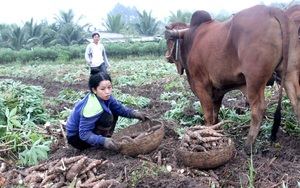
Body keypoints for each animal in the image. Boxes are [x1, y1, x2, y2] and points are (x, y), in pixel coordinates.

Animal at [164, 4, 300, 154]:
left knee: (258, 108)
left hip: (254, 80)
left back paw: (248, 145)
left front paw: (207, 131)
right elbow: (215, 113)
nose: (166, 56)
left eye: (168, 40)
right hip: (290, 73)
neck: (190, 39)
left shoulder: (201, 85)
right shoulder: (217, 91)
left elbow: (208, 115)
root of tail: (272, 10)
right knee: (296, 101)